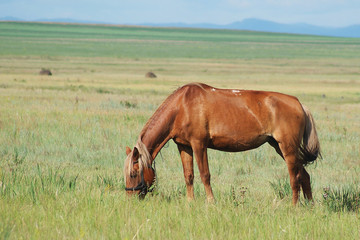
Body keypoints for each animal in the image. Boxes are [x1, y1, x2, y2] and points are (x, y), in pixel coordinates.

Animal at [124, 82, 320, 204]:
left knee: (294, 178)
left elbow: (205, 175)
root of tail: (299, 104)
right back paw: (310, 206)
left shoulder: (199, 144)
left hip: (287, 148)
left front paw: (211, 202)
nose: (129, 199)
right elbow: (189, 175)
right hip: (279, 147)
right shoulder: (184, 146)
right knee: (304, 175)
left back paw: (294, 206)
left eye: (133, 174)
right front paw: (190, 202)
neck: (181, 106)